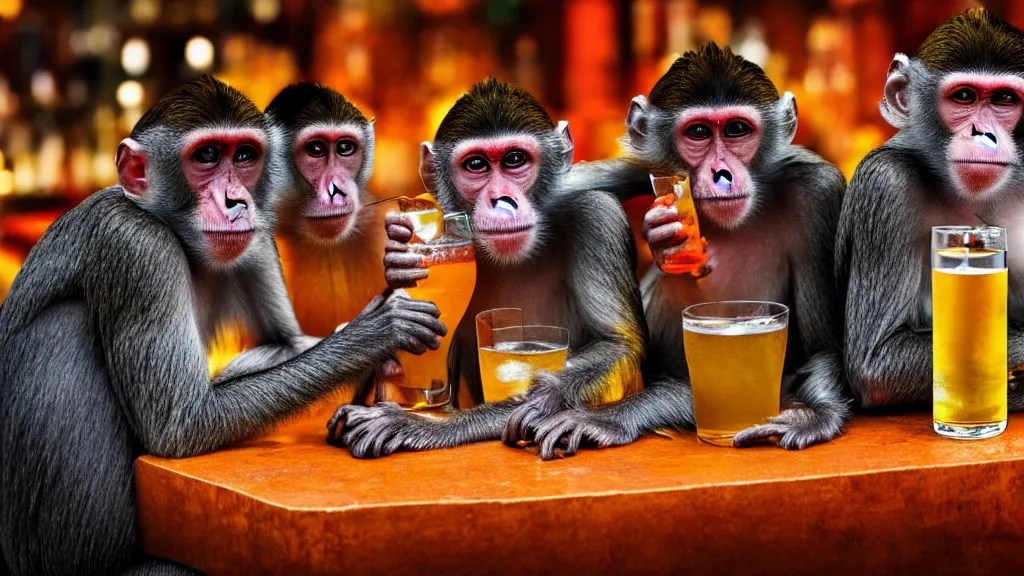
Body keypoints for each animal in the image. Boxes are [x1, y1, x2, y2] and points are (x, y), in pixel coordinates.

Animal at [0, 76, 445, 576]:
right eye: (208, 156)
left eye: (245, 156)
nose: (236, 201)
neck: (171, 227)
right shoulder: (135, 243)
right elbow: (179, 422)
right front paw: (378, 329)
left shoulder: (258, 237)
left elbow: (285, 342)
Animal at [326, 77, 648, 458]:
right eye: (476, 165)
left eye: (514, 159)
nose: (500, 199)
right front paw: (398, 260)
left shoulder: (597, 215)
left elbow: (617, 347)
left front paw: (419, 424)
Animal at [525, 43, 850, 459]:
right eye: (698, 132)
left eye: (737, 129)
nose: (721, 173)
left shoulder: (818, 191)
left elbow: (823, 348)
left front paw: (813, 416)